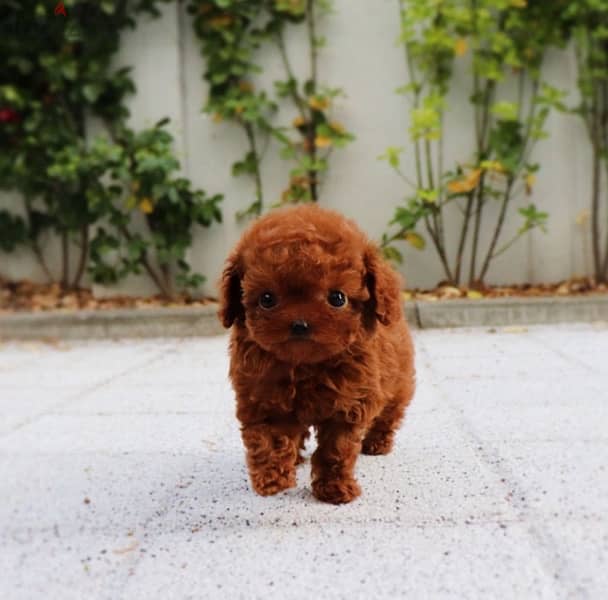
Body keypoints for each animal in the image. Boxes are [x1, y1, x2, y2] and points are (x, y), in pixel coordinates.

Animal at [220, 204, 418, 504]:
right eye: (267, 299)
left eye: (337, 298)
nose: (299, 324)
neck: (305, 366)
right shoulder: (262, 397)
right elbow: (269, 441)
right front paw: (272, 481)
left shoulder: (348, 406)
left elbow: (336, 451)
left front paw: (335, 489)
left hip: (399, 384)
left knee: (389, 414)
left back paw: (377, 443)